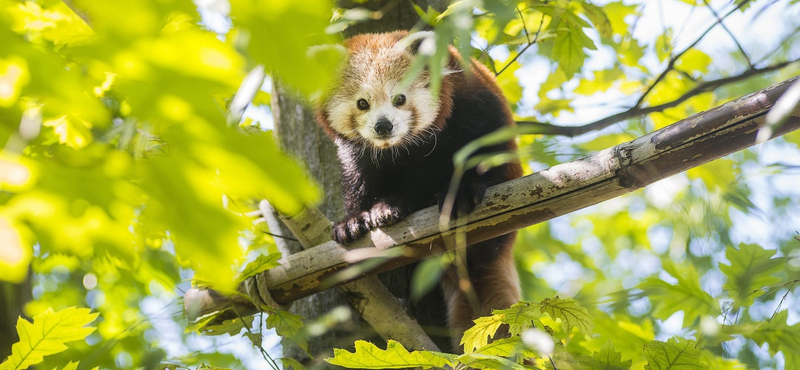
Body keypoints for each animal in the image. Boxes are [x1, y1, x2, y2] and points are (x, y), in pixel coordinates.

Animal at [316, 30, 520, 352]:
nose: (383, 126)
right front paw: (354, 220)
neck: (402, 148)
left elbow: (482, 148)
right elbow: (358, 176)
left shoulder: (473, 104)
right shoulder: (357, 152)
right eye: (362, 103)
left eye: (400, 98)